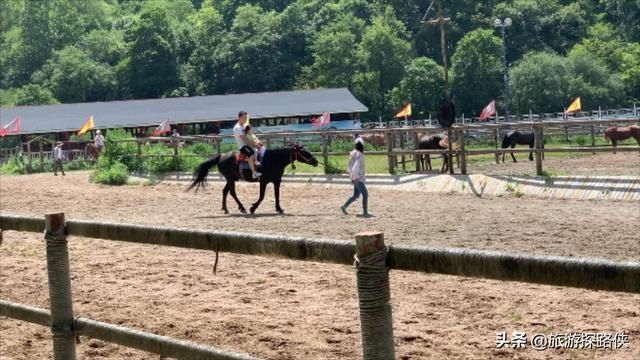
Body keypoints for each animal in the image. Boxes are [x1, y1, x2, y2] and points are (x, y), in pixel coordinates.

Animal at [190, 144, 320, 214]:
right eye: (304, 152)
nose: (316, 161)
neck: (273, 159)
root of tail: (221, 156)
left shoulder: (276, 181)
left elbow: (277, 195)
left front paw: (279, 209)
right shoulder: (263, 181)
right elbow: (262, 196)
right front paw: (253, 208)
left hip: (231, 179)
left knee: (225, 191)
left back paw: (226, 209)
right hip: (230, 179)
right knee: (232, 192)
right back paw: (242, 208)